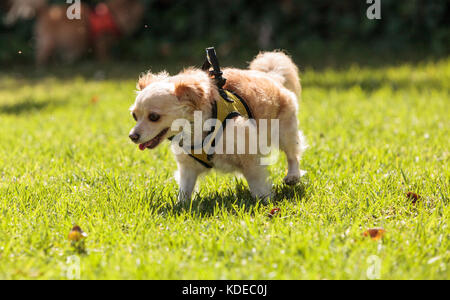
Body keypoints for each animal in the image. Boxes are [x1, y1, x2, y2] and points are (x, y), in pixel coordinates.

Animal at [4, 0, 142, 64]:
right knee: (40, 57)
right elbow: (103, 55)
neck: (114, 14)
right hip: (49, 41)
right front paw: (107, 62)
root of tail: (43, 11)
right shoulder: (101, 40)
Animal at [128, 51, 308, 204]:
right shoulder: (188, 167)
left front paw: (265, 202)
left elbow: (257, 182)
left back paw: (293, 176)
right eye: (135, 116)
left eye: (153, 117)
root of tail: (271, 77)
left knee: (293, 154)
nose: (132, 136)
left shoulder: (249, 156)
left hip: (284, 132)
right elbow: (185, 189)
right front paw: (181, 206)